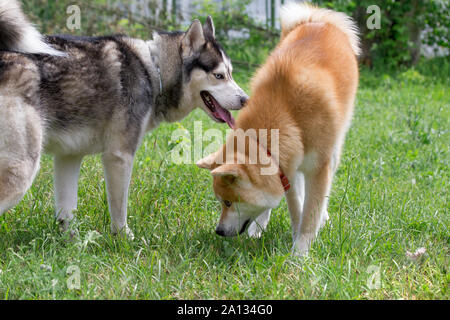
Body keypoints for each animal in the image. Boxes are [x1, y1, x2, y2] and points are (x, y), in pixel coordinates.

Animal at [0, 0, 248, 238]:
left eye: (231, 73)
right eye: (219, 75)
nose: (245, 99)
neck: (154, 71)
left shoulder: (68, 157)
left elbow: (66, 210)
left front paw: (72, 242)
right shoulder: (119, 157)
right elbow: (119, 208)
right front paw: (123, 238)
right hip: (22, 171)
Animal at [199, 3, 360, 255]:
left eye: (228, 202)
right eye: (221, 201)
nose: (219, 231)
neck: (286, 113)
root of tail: (316, 20)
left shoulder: (316, 168)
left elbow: (310, 213)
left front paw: (300, 253)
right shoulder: (286, 170)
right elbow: (295, 208)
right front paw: (289, 234)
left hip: (334, 146)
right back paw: (259, 226)